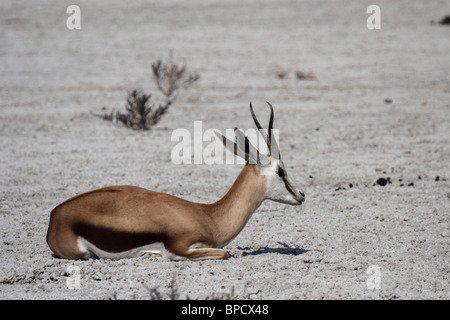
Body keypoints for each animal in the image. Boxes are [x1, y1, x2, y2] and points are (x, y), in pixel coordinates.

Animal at [46, 102, 306, 260]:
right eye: (281, 171)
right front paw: (151, 255)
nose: (301, 194)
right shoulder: (182, 248)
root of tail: (55, 215)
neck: (209, 217)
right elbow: (224, 253)